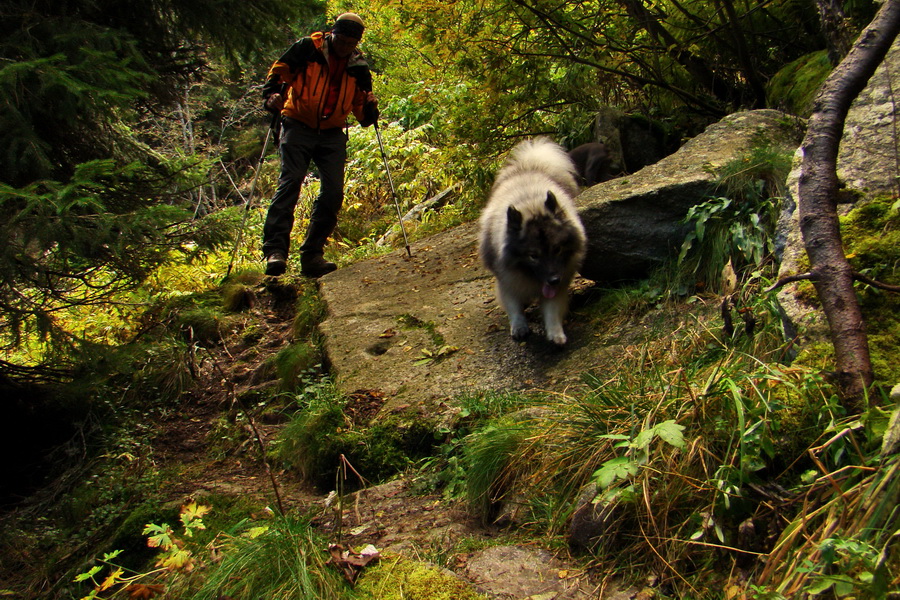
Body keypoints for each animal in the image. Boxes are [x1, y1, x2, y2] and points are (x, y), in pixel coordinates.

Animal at [482, 135, 588, 342]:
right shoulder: (508, 281)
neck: (531, 205)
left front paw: (555, 333)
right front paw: (519, 326)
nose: (553, 279)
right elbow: (514, 307)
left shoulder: (559, 283)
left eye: (557, 249)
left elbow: (552, 309)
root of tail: (529, 166)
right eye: (533, 255)